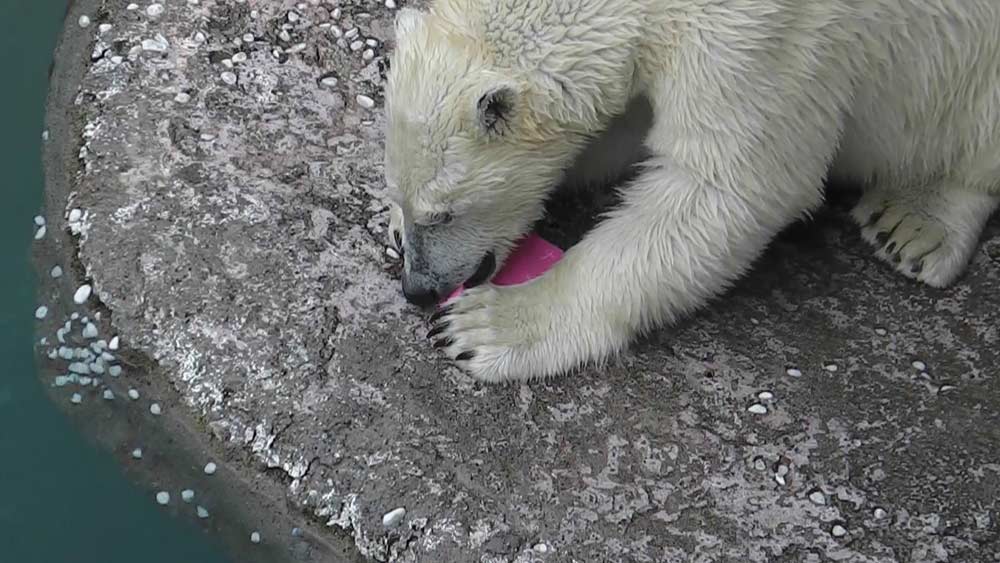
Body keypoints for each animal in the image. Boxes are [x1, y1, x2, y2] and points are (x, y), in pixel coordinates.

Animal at [381, 0, 1000, 383]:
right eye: (411, 202)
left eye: (443, 214)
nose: (419, 288)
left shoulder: (766, 40)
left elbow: (726, 185)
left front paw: (483, 328)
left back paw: (915, 223)